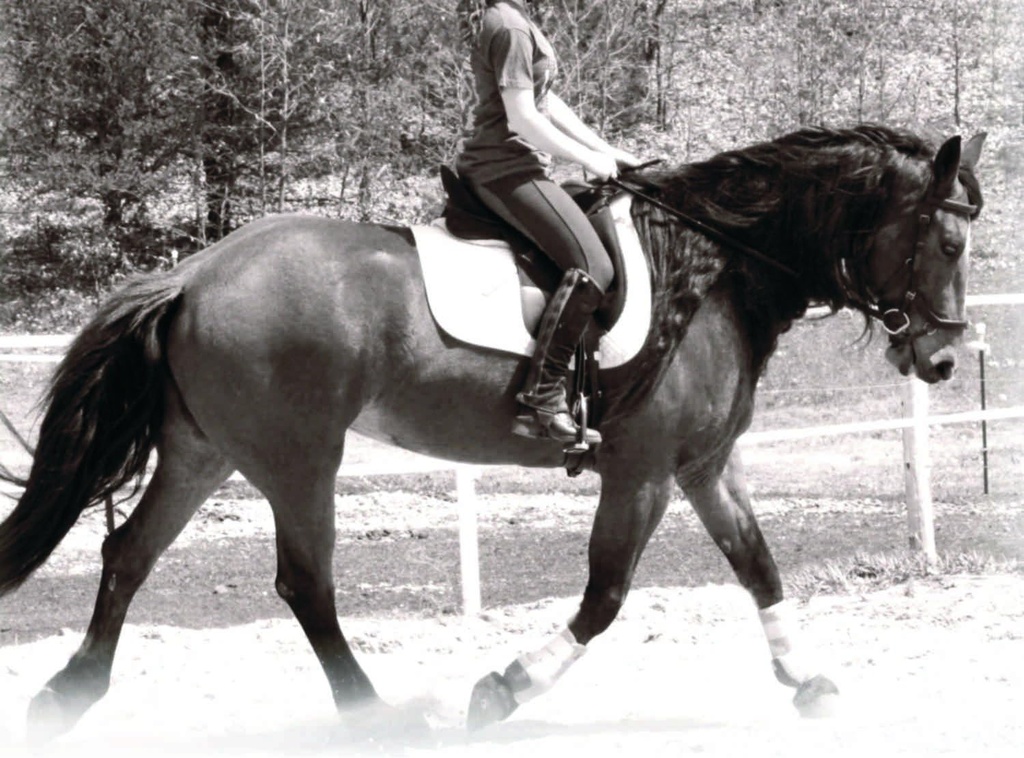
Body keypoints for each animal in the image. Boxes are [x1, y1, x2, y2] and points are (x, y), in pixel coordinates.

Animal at [0, 125, 985, 741]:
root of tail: (194, 272)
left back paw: (68, 696)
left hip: (204, 451)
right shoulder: (641, 472)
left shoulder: (704, 465)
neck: (714, 270)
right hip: (299, 457)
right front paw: (503, 690)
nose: (943, 360)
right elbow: (606, 597)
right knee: (304, 582)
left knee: (129, 551)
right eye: (948, 244)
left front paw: (809, 682)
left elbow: (759, 566)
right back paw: (378, 714)